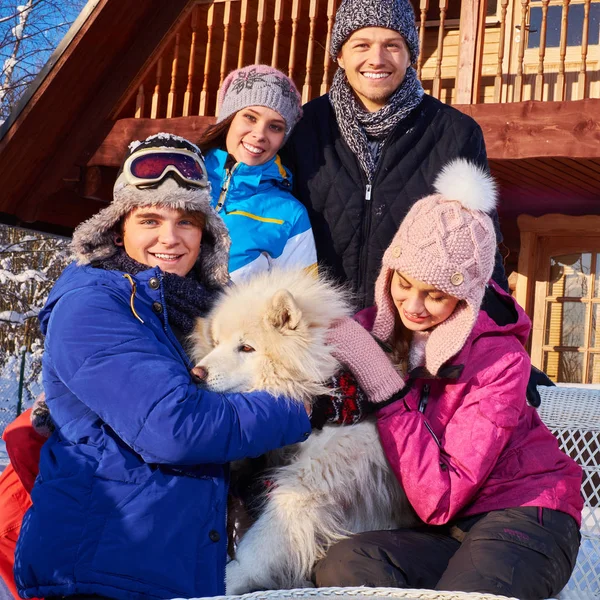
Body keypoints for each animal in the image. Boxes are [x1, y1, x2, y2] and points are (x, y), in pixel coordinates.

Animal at [188, 270, 418, 596]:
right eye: (217, 343)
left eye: (246, 347)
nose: (196, 374)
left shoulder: (311, 479)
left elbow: (263, 540)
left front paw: (229, 579)